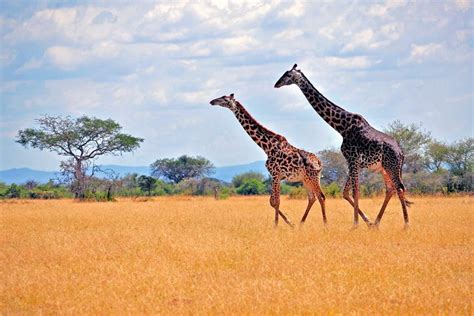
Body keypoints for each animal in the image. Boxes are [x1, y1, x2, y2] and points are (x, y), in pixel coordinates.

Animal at [210, 94, 326, 227]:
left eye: (224, 98)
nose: (212, 101)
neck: (266, 147)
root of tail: (319, 162)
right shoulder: (277, 176)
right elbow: (271, 201)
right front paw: (290, 223)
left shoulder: (275, 174)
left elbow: (277, 201)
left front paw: (276, 225)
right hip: (306, 179)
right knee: (312, 198)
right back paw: (300, 224)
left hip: (313, 177)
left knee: (321, 197)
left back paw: (325, 224)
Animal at [274, 64, 412, 228]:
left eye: (288, 75)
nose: (276, 84)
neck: (342, 127)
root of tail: (401, 152)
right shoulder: (354, 162)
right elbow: (346, 192)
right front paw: (367, 222)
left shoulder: (352, 159)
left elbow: (355, 191)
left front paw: (355, 225)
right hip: (384, 168)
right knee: (390, 189)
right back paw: (377, 223)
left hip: (391, 166)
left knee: (399, 188)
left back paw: (406, 225)